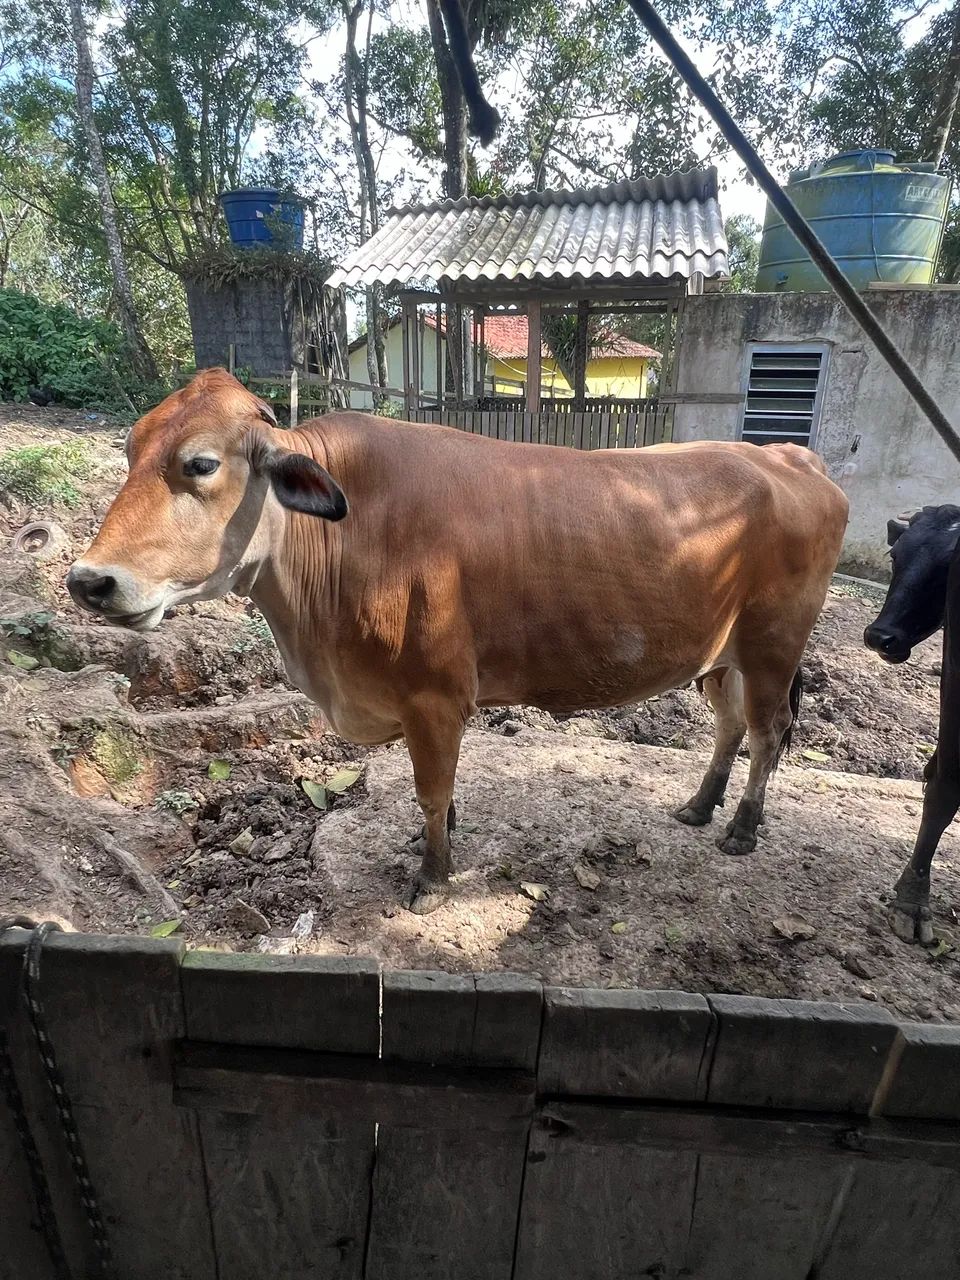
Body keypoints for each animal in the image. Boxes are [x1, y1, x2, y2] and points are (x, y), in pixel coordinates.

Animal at [67, 369, 848, 913]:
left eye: (201, 463)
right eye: (130, 450)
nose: (89, 581)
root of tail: (792, 459)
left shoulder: (435, 698)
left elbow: (431, 790)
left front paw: (434, 876)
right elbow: (441, 799)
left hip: (775, 645)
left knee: (768, 732)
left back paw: (741, 828)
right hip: (721, 654)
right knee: (729, 725)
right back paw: (699, 805)